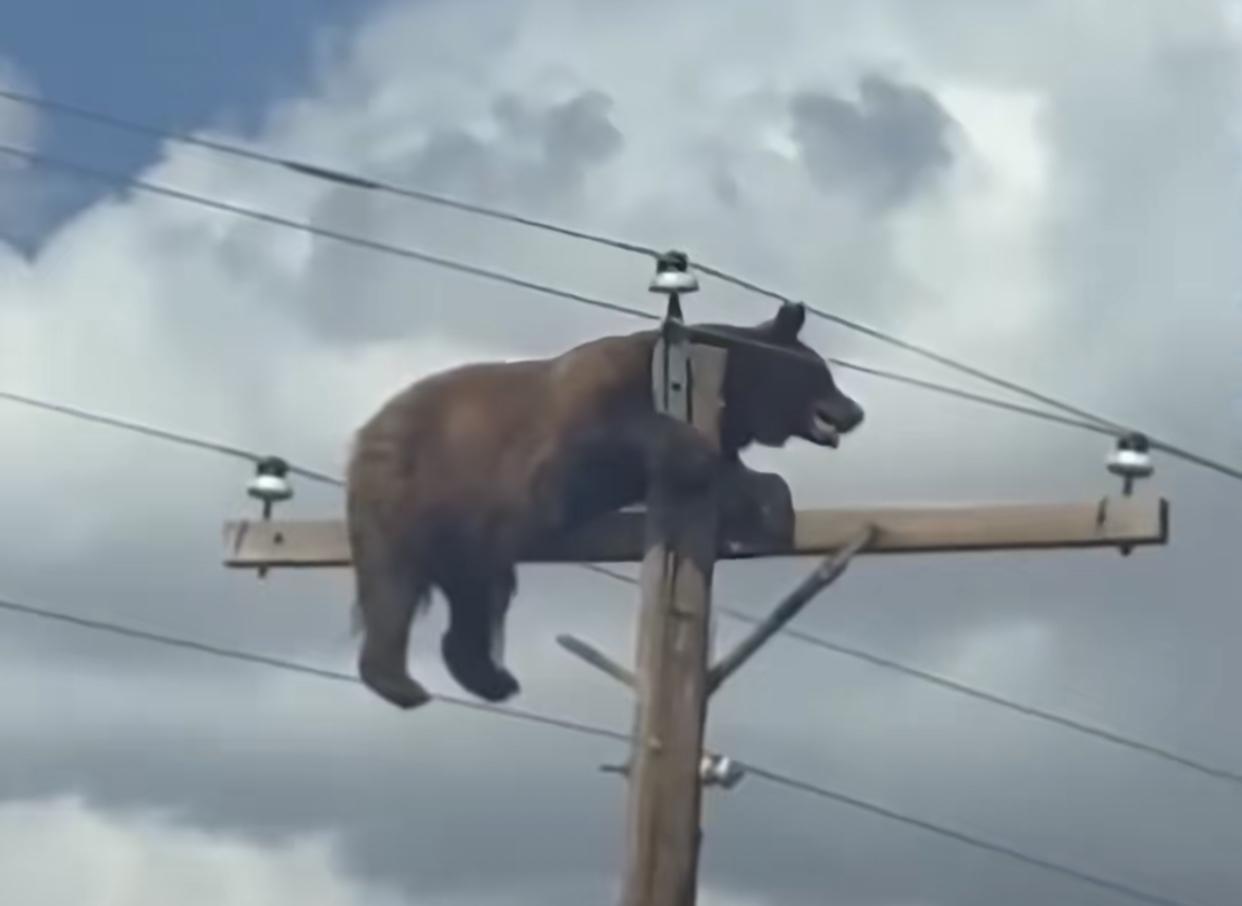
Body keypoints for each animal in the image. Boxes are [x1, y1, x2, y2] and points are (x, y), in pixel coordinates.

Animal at [345, 300, 864, 710]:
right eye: (824, 373)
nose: (856, 411)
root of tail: (368, 427)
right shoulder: (581, 414)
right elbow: (599, 450)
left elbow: (735, 476)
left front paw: (772, 507)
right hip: (406, 485)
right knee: (392, 581)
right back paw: (398, 680)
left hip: (466, 527)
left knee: (475, 593)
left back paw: (489, 678)